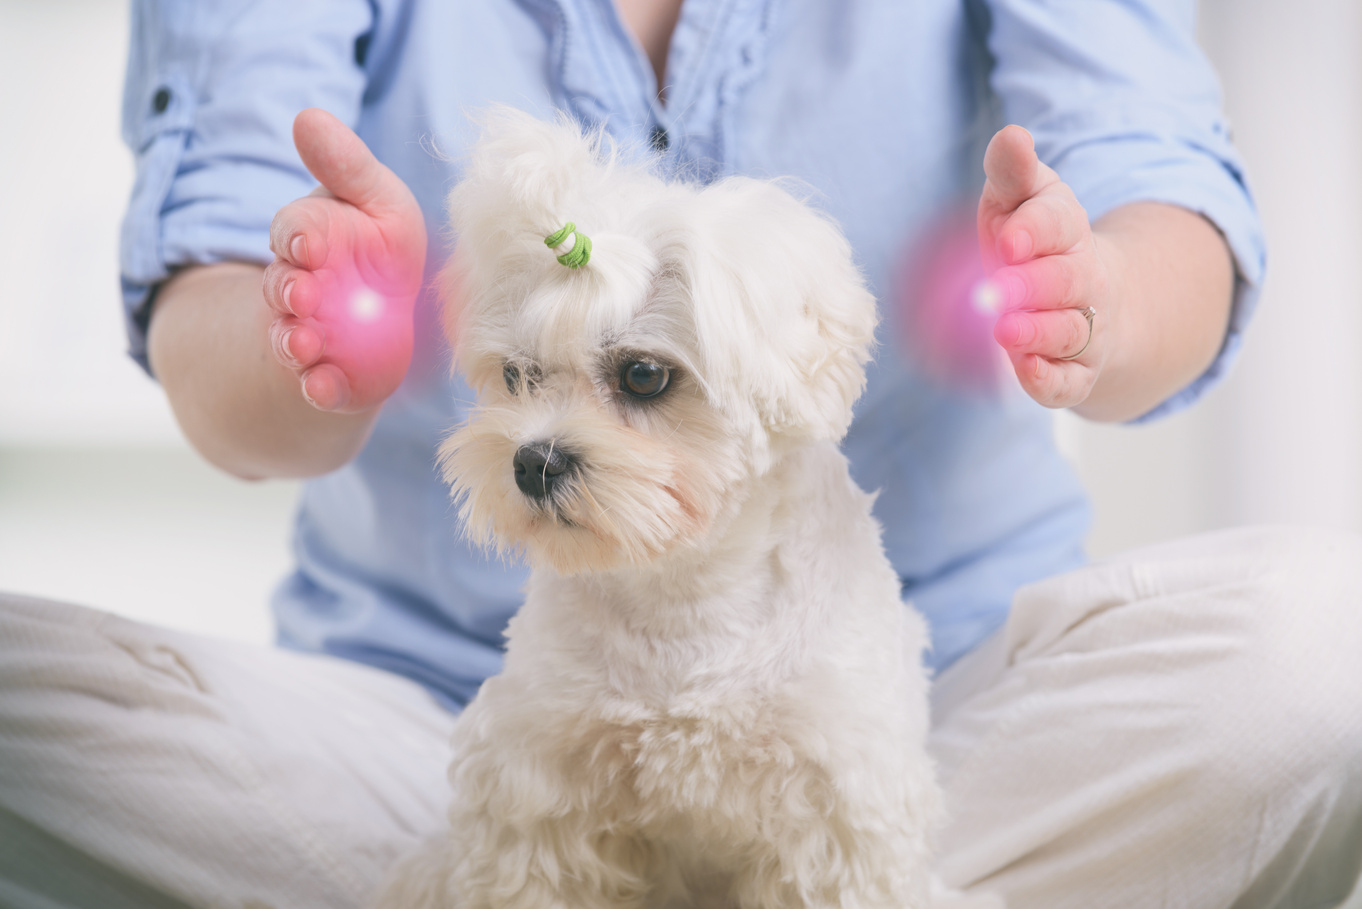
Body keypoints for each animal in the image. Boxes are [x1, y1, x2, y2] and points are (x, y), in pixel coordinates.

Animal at [378, 111, 986, 909]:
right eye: (517, 376)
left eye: (643, 374)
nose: (533, 462)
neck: (684, 599)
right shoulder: (537, 786)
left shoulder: (835, 807)